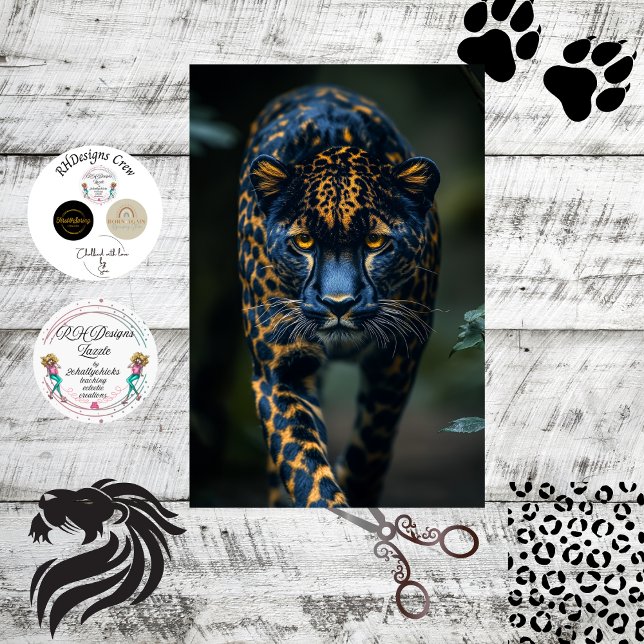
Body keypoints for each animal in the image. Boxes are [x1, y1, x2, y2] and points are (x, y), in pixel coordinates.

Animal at [238, 85, 440, 508]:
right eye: (303, 242)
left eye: (375, 242)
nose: (338, 304)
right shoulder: (281, 370)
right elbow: (303, 466)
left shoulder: (398, 361)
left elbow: (372, 447)